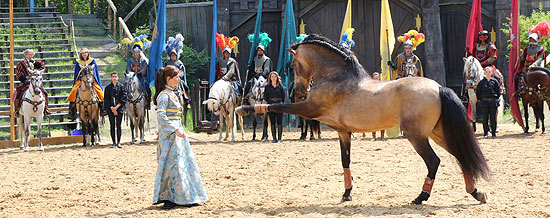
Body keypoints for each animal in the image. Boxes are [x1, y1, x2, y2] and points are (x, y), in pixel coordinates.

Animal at [237, 34, 492, 204]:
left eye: (292, 65)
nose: (299, 91)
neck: (337, 77)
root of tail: (438, 87)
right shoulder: (343, 132)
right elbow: (345, 161)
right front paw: (347, 194)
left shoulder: (309, 108)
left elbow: (278, 105)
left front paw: (244, 108)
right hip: (437, 133)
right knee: (460, 155)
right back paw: (476, 192)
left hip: (417, 135)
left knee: (433, 161)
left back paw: (421, 197)